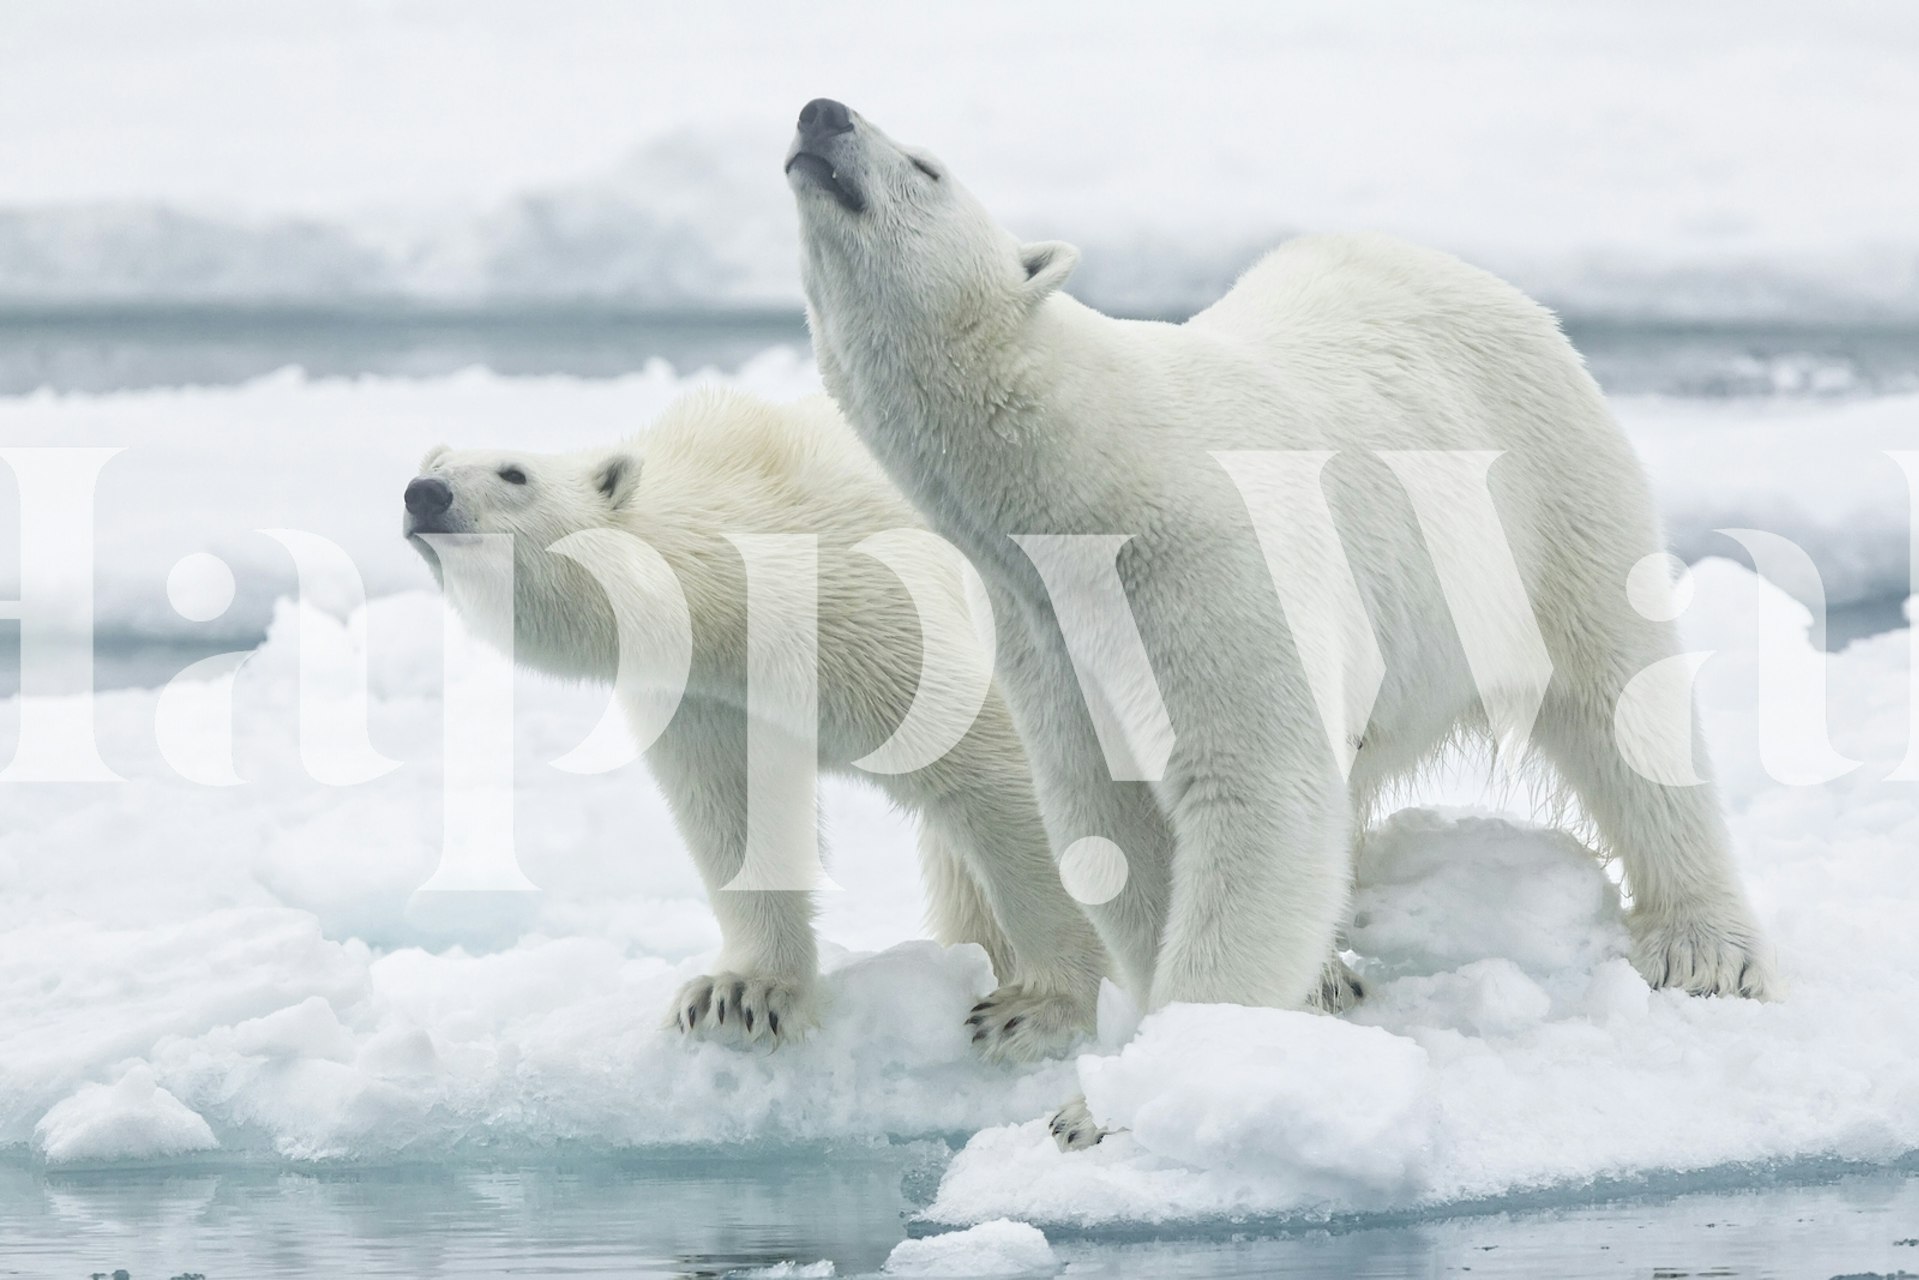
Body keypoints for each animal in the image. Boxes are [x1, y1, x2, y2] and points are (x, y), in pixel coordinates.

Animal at [402, 386, 1108, 1063]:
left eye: (514, 472)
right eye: (434, 464)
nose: (424, 494)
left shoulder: (870, 609)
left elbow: (997, 772)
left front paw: (1038, 1010)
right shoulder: (707, 695)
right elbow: (735, 808)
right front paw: (739, 995)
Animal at [784, 99, 1775, 1142]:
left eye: (923, 166)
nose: (822, 112)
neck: (1098, 475)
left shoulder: (1215, 564)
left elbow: (1259, 794)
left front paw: (1116, 1103)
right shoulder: (1045, 628)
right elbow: (1113, 820)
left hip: (1547, 490)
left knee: (1620, 698)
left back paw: (1706, 948)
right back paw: (1331, 974)